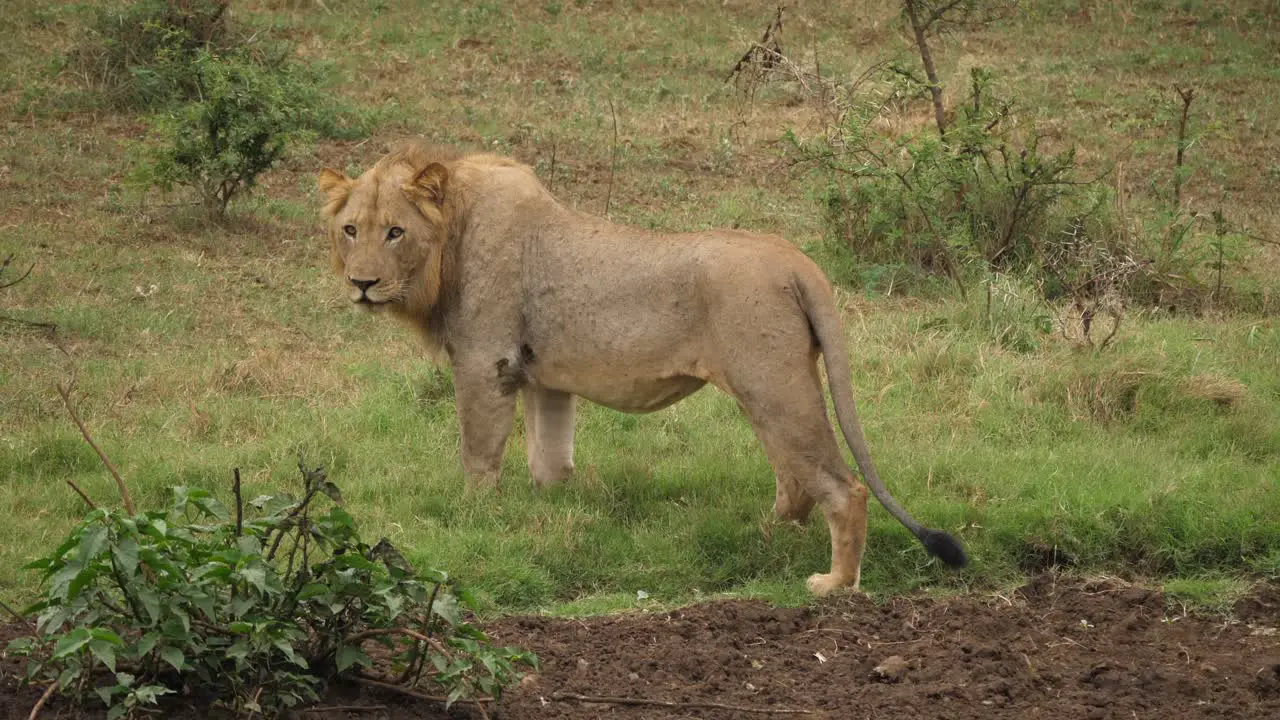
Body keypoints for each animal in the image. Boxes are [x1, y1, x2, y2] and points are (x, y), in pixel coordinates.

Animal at [314, 141, 962, 594]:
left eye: (395, 232)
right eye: (350, 230)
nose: (362, 284)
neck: (450, 240)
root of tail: (798, 260)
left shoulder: (485, 363)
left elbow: (478, 456)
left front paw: (477, 518)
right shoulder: (544, 378)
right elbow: (549, 462)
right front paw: (552, 513)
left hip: (772, 385)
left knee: (844, 489)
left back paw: (834, 584)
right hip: (769, 390)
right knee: (796, 481)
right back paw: (764, 539)